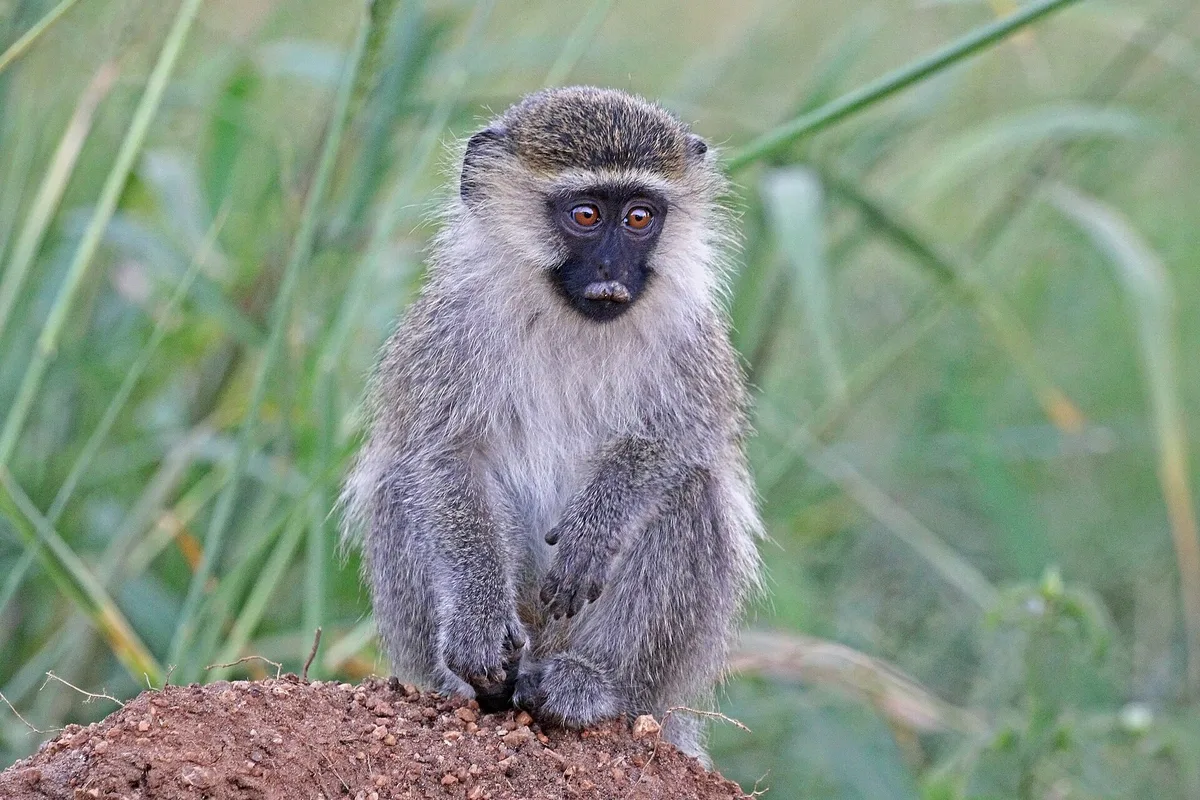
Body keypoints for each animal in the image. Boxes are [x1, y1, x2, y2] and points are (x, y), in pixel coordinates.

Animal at [342, 86, 762, 759]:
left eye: (639, 217)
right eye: (586, 215)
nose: (612, 272)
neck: (571, 320)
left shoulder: (695, 340)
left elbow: (678, 443)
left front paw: (597, 526)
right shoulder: (450, 328)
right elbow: (443, 456)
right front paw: (477, 625)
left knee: (691, 493)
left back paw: (590, 683)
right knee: (401, 486)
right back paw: (475, 683)